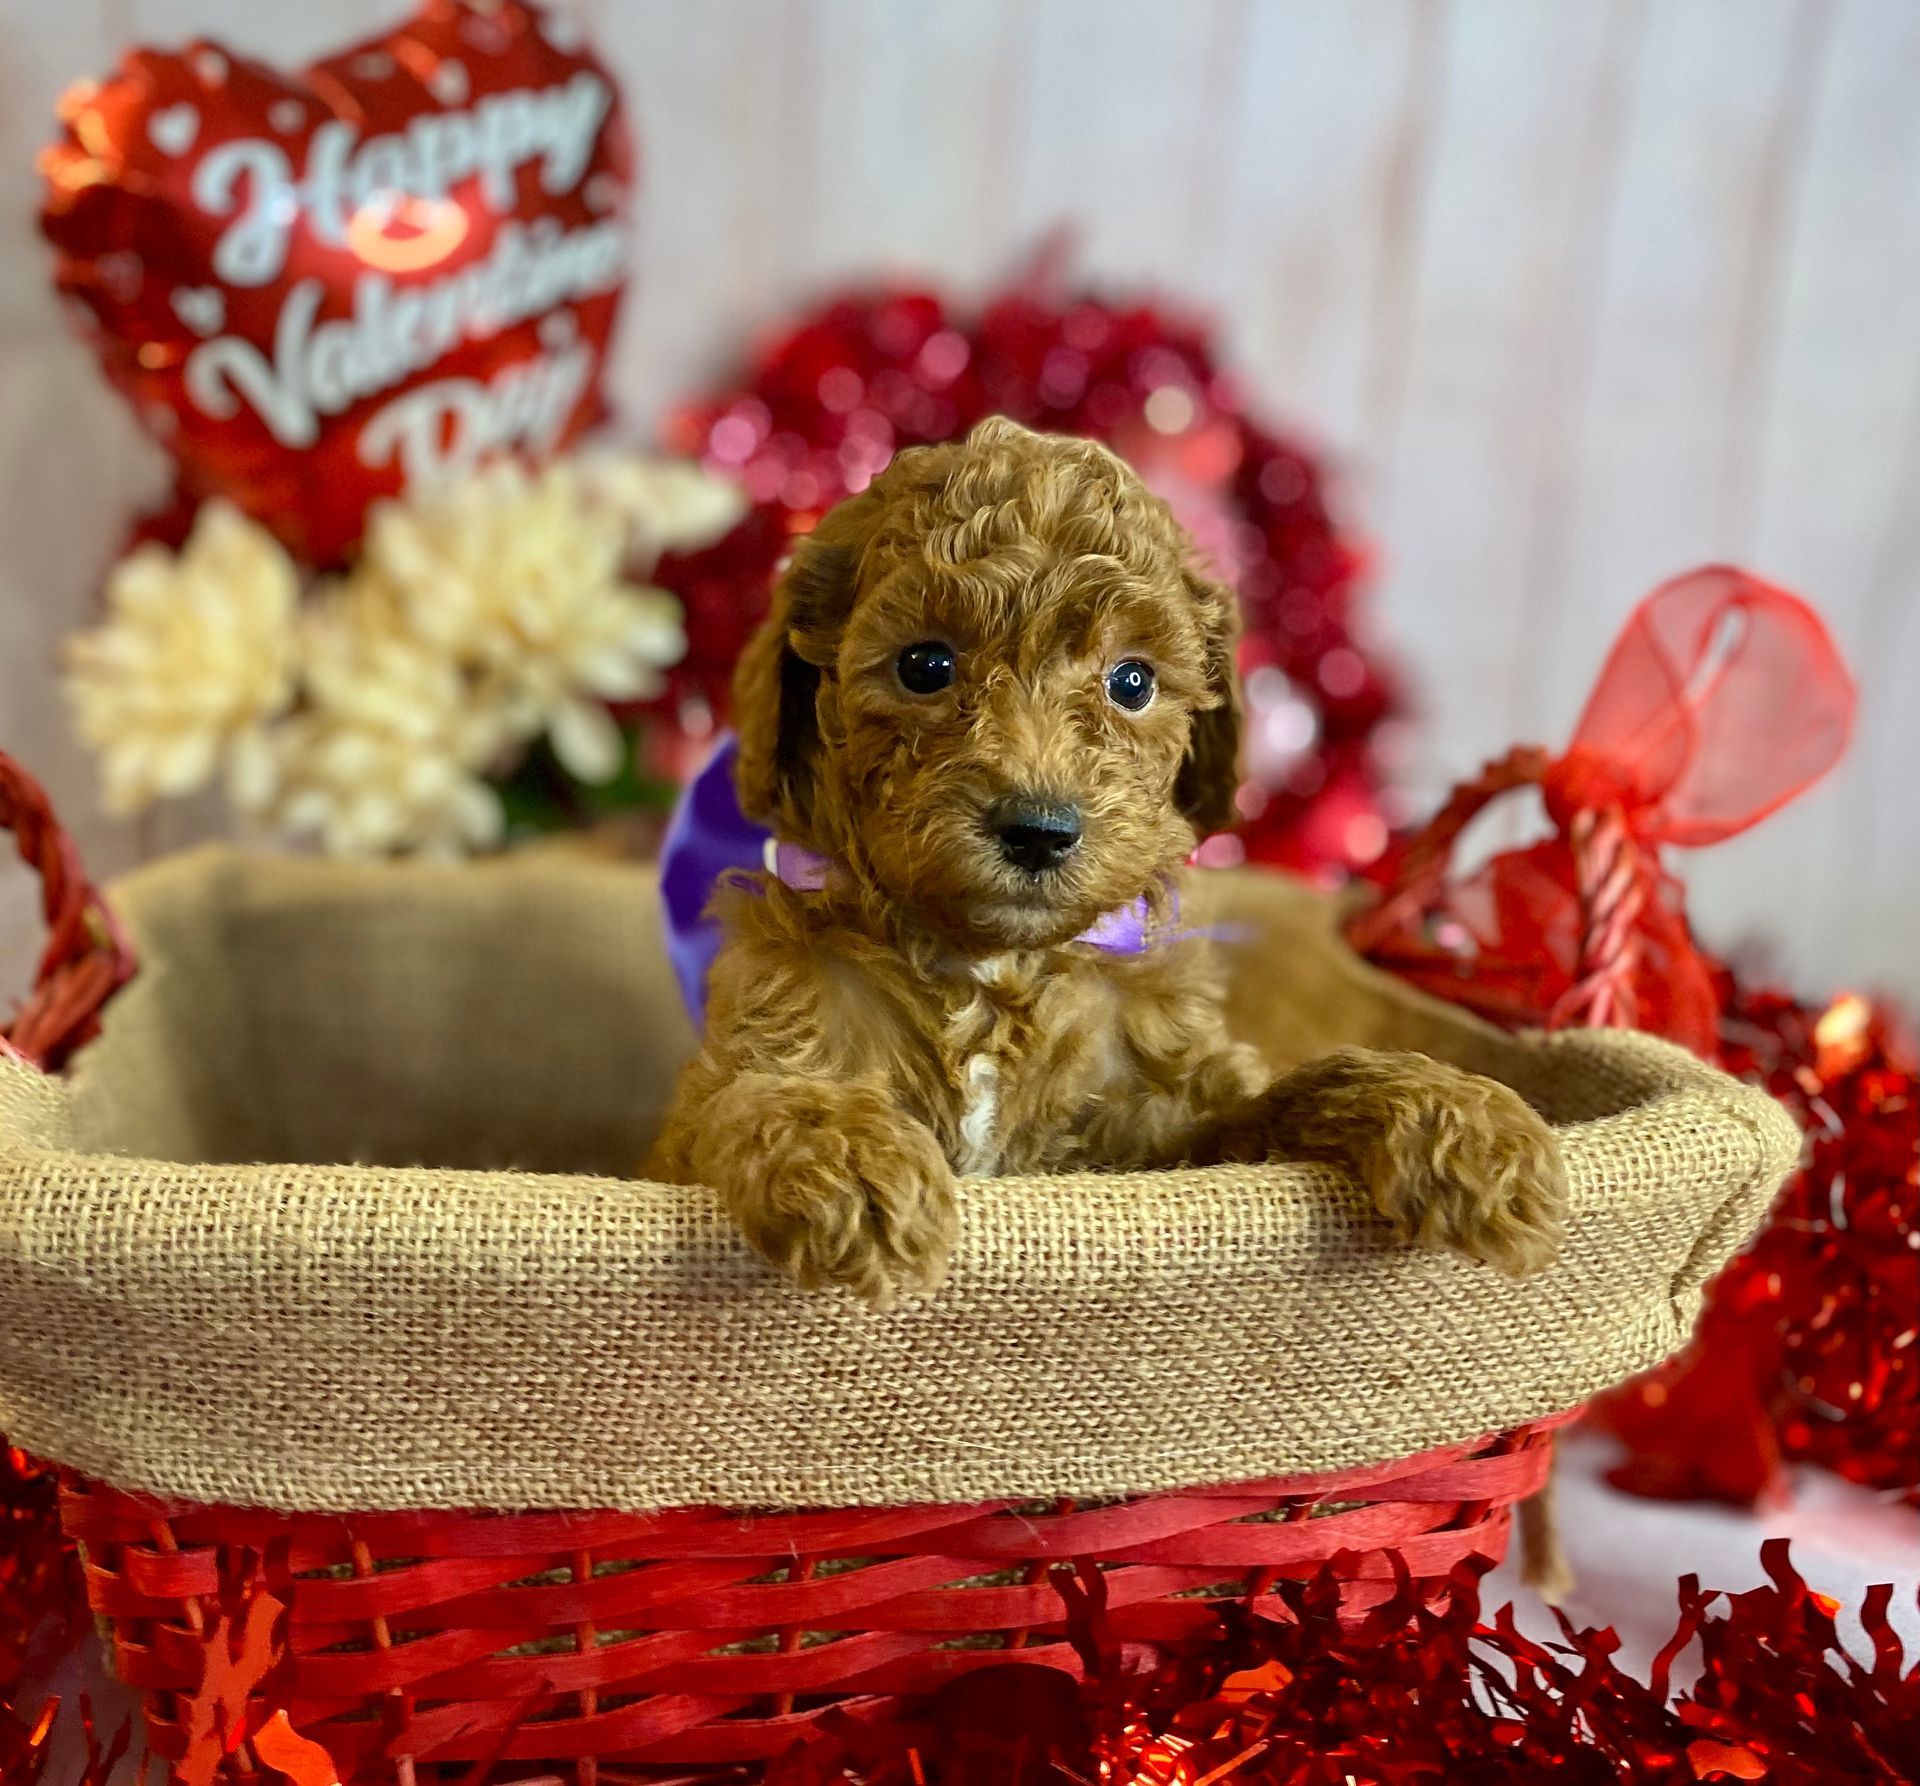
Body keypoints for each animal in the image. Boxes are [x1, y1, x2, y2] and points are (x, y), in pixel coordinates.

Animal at [652, 420, 1566, 1305]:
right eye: (925, 665)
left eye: (1132, 682)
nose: (1039, 828)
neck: (991, 969)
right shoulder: (716, 1096)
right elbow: (759, 1095)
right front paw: (852, 1161)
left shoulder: (1170, 1127)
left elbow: (1293, 1091)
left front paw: (1460, 1119)